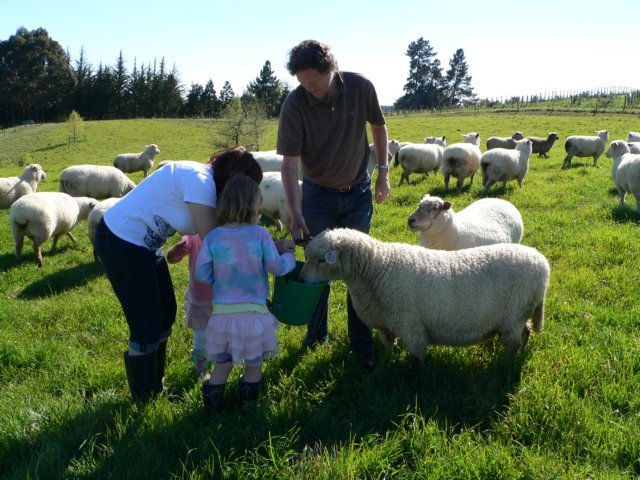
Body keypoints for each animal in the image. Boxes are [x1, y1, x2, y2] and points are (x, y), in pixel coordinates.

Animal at [299, 228, 550, 361]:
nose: (301, 279)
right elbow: (387, 346)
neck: (378, 269)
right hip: (517, 316)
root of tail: (542, 264)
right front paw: (384, 366)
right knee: (526, 333)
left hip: (514, 314)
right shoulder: (385, 323)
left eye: (321, 260)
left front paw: (418, 374)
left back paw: (505, 364)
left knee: (514, 340)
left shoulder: (410, 325)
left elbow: (418, 356)